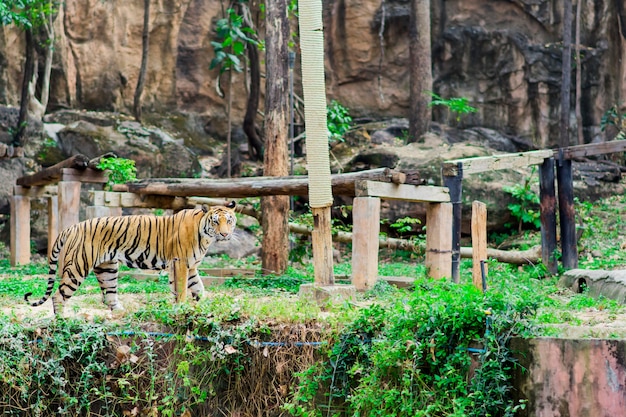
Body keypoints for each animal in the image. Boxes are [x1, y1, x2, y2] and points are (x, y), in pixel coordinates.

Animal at [24, 202, 236, 316]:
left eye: (229, 220)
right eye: (215, 222)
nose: (225, 234)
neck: (205, 235)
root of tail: (71, 227)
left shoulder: (191, 267)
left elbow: (199, 288)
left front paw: (204, 307)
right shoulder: (181, 263)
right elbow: (182, 290)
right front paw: (182, 308)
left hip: (107, 268)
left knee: (109, 296)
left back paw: (121, 312)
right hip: (78, 267)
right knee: (58, 295)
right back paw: (63, 320)